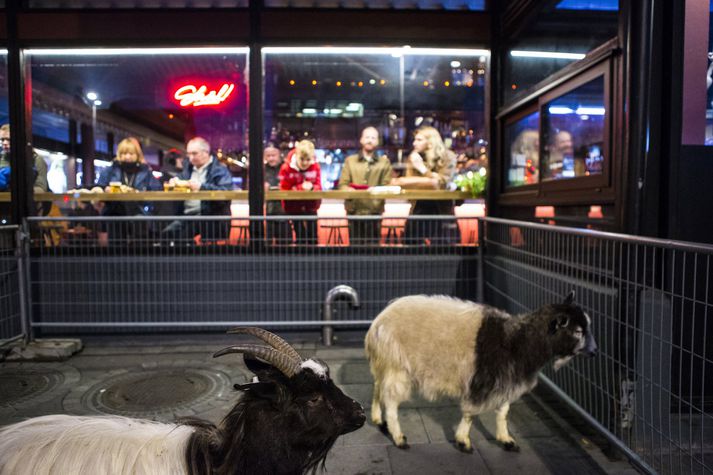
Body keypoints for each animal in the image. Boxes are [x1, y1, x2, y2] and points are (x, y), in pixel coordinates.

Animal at [368, 292, 596, 452]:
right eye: (577, 331)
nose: (594, 351)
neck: (518, 340)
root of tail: (377, 323)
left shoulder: (505, 381)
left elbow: (503, 412)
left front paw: (506, 440)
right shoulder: (483, 381)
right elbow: (471, 413)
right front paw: (463, 441)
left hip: (385, 364)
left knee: (378, 388)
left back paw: (378, 419)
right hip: (397, 367)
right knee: (391, 401)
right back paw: (399, 437)